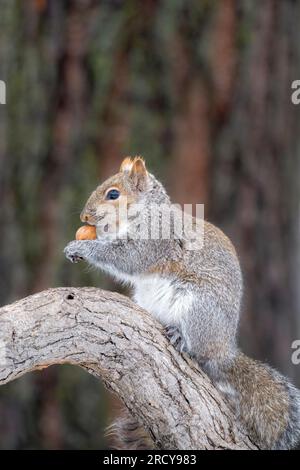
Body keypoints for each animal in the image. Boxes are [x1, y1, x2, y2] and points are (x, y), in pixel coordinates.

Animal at [64, 156, 300, 450]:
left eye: (113, 194)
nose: (85, 217)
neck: (145, 213)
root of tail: (223, 351)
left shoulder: (154, 242)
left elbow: (127, 258)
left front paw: (82, 247)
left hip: (197, 307)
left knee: (197, 349)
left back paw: (180, 337)